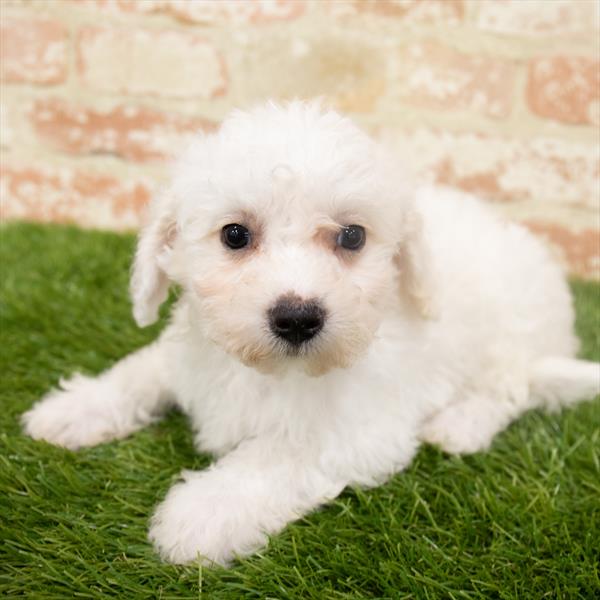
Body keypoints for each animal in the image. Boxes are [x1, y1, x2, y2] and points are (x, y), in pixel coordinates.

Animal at [21, 101, 596, 564]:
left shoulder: (360, 430)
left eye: (353, 236)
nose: (297, 317)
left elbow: (276, 457)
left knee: (512, 390)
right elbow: (138, 373)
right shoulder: (186, 354)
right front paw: (73, 410)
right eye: (235, 235)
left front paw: (202, 513)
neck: (273, 372)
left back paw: (461, 426)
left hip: (512, 335)